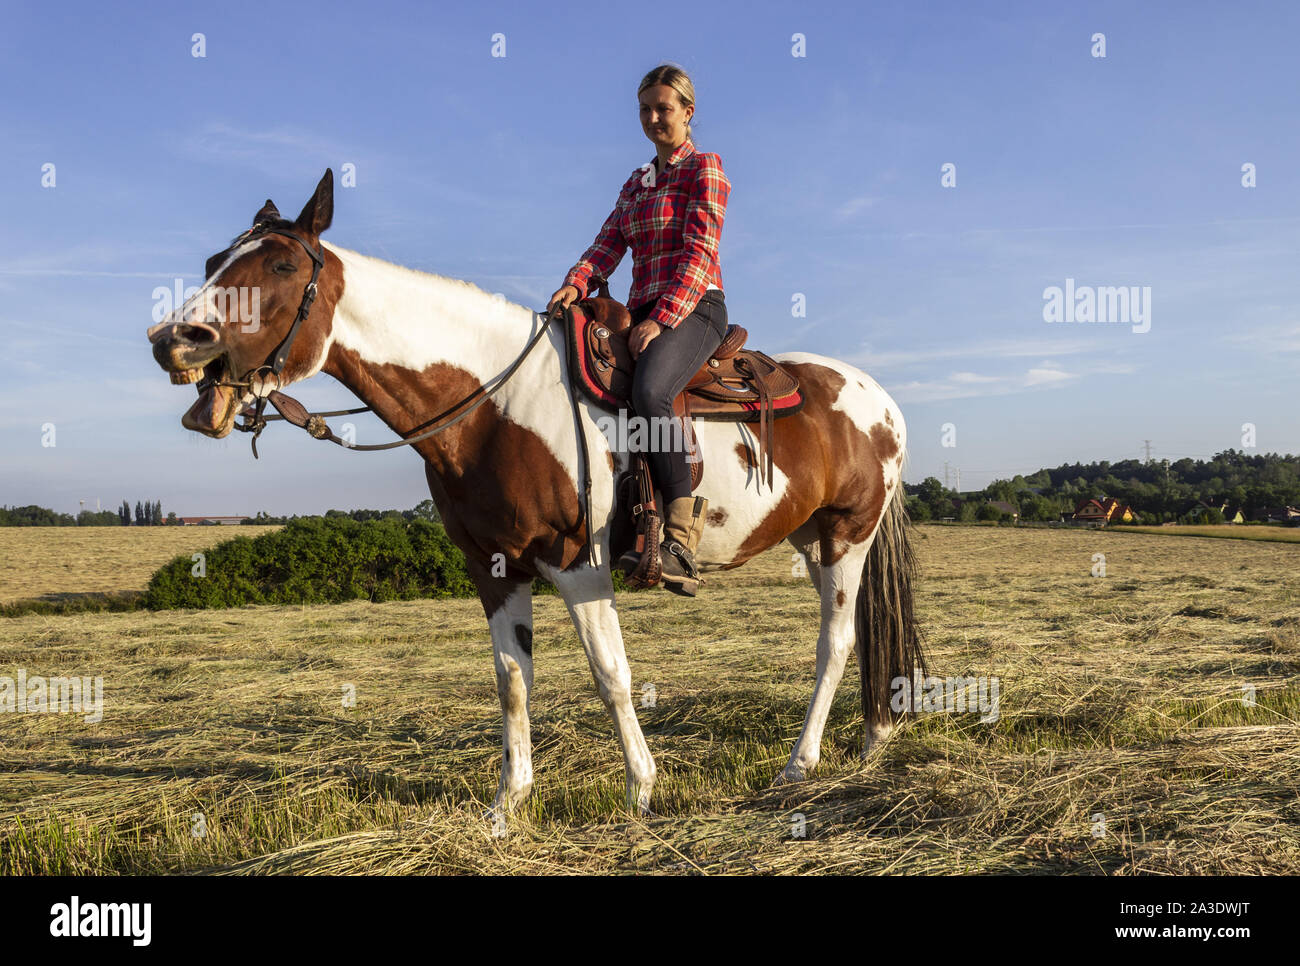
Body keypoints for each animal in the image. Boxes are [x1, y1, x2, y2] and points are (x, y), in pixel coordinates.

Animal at [144, 167, 925, 816]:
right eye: (214, 263)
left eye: (279, 265)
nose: (173, 338)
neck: (497, 400)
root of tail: (881, 401)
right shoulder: (494, 569)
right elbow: (511, 679)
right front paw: (507, 806)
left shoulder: (580, 566)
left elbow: (610, 673)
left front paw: (642, 791)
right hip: (812, 538)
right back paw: (871, 740)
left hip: (846, 537)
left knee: (835, 642)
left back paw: (802, 763)